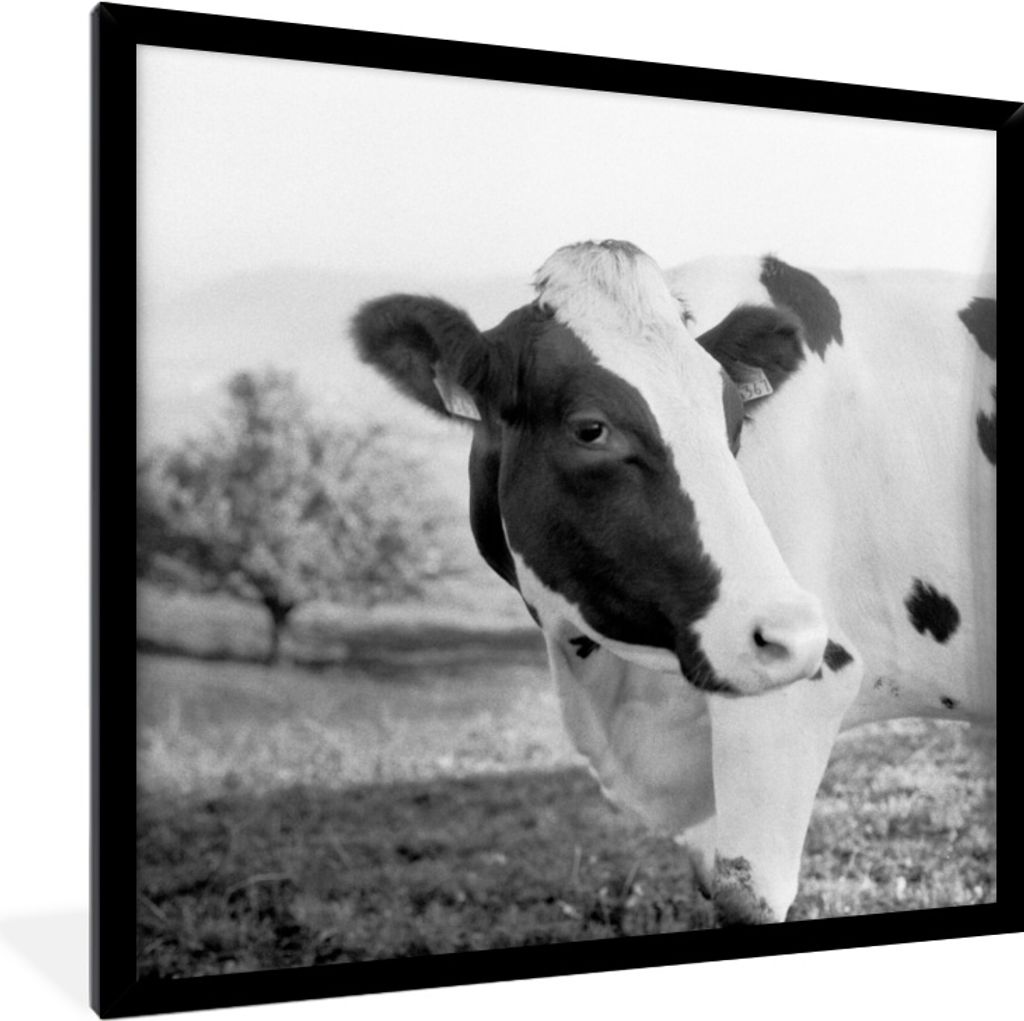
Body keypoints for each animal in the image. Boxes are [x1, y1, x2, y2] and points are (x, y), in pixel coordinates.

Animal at [351, 240, 996, 925]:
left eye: (735, 421)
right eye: (590, 428)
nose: (792, 632)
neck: (628, 693)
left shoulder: (794, 697)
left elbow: (746, 899)